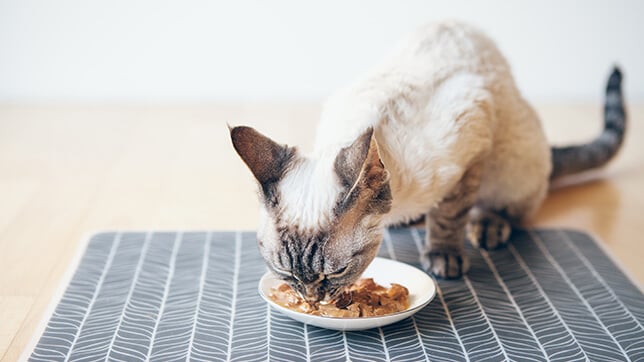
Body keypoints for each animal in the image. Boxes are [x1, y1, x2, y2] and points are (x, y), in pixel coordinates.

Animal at [229, 19, 628, 302]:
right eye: (285, 273)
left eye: (336, 273)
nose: (311, 298)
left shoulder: (471, 147)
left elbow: (449, 216)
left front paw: (443, 256)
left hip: (513, 165)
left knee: (509, 209)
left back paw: (487, 226)